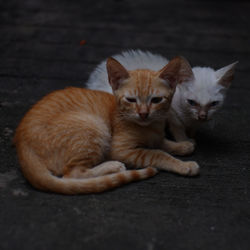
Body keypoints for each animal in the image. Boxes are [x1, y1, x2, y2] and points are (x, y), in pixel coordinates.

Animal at [14, 55, 199, 194]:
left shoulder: (155, 136)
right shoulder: (121, 149)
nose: (143, 113)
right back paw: (112, 166)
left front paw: (183, 145)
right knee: (71, 174)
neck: (150, 126)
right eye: (131, 100)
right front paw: (184, 165)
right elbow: (158, 154)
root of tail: (22, 145)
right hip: (94, 126)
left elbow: (161, 143)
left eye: (156, 100)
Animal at [87, 49, 237, 142]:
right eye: (191, 102)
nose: (202, 116)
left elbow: (192, 128)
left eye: (214, 103)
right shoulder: (171, 113)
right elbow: (178, 128)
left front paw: (192, 136)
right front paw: (185, 141)